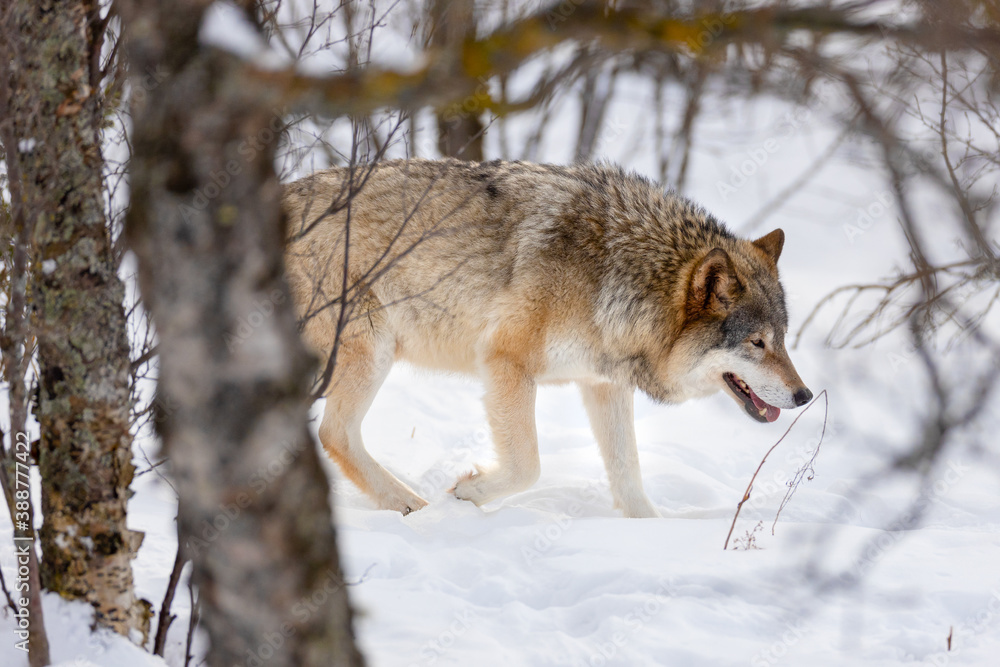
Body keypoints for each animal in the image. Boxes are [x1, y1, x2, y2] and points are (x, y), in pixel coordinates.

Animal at [283, 158, 812, 518]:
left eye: (783, 338)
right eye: (757, 343)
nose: (804, 395)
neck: (617, 276)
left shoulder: (603, 385)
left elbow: (630, 477)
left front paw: (648, 535)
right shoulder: (505, 362)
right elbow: (528, 466)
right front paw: (469, 492)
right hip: (370, 351)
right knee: (335, 434)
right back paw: (413, 507)